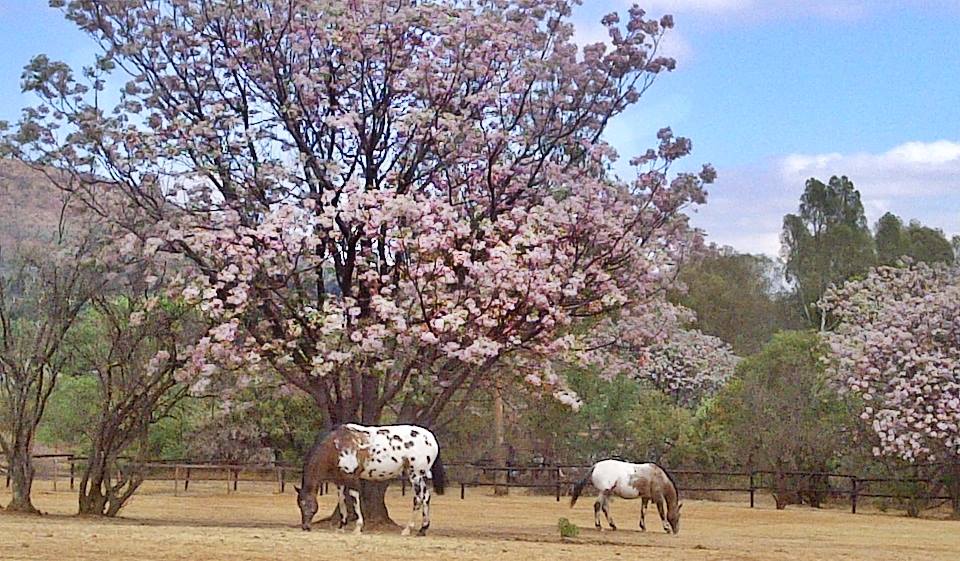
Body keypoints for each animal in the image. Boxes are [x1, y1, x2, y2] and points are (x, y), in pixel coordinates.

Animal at [292, 424, 446, 532]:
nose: (305, 527)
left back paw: (408, 529)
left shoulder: (352, 478)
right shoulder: (340, 481)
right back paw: (423, 529)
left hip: (415, 475)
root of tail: (430, 438)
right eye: (299, 504)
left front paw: (358, 527)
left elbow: (354, 499)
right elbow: (342, 500)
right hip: (420, 476)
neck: (337, 445)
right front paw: (341, 526)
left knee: (418, 499)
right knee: (426, 497)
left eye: (305, 504)